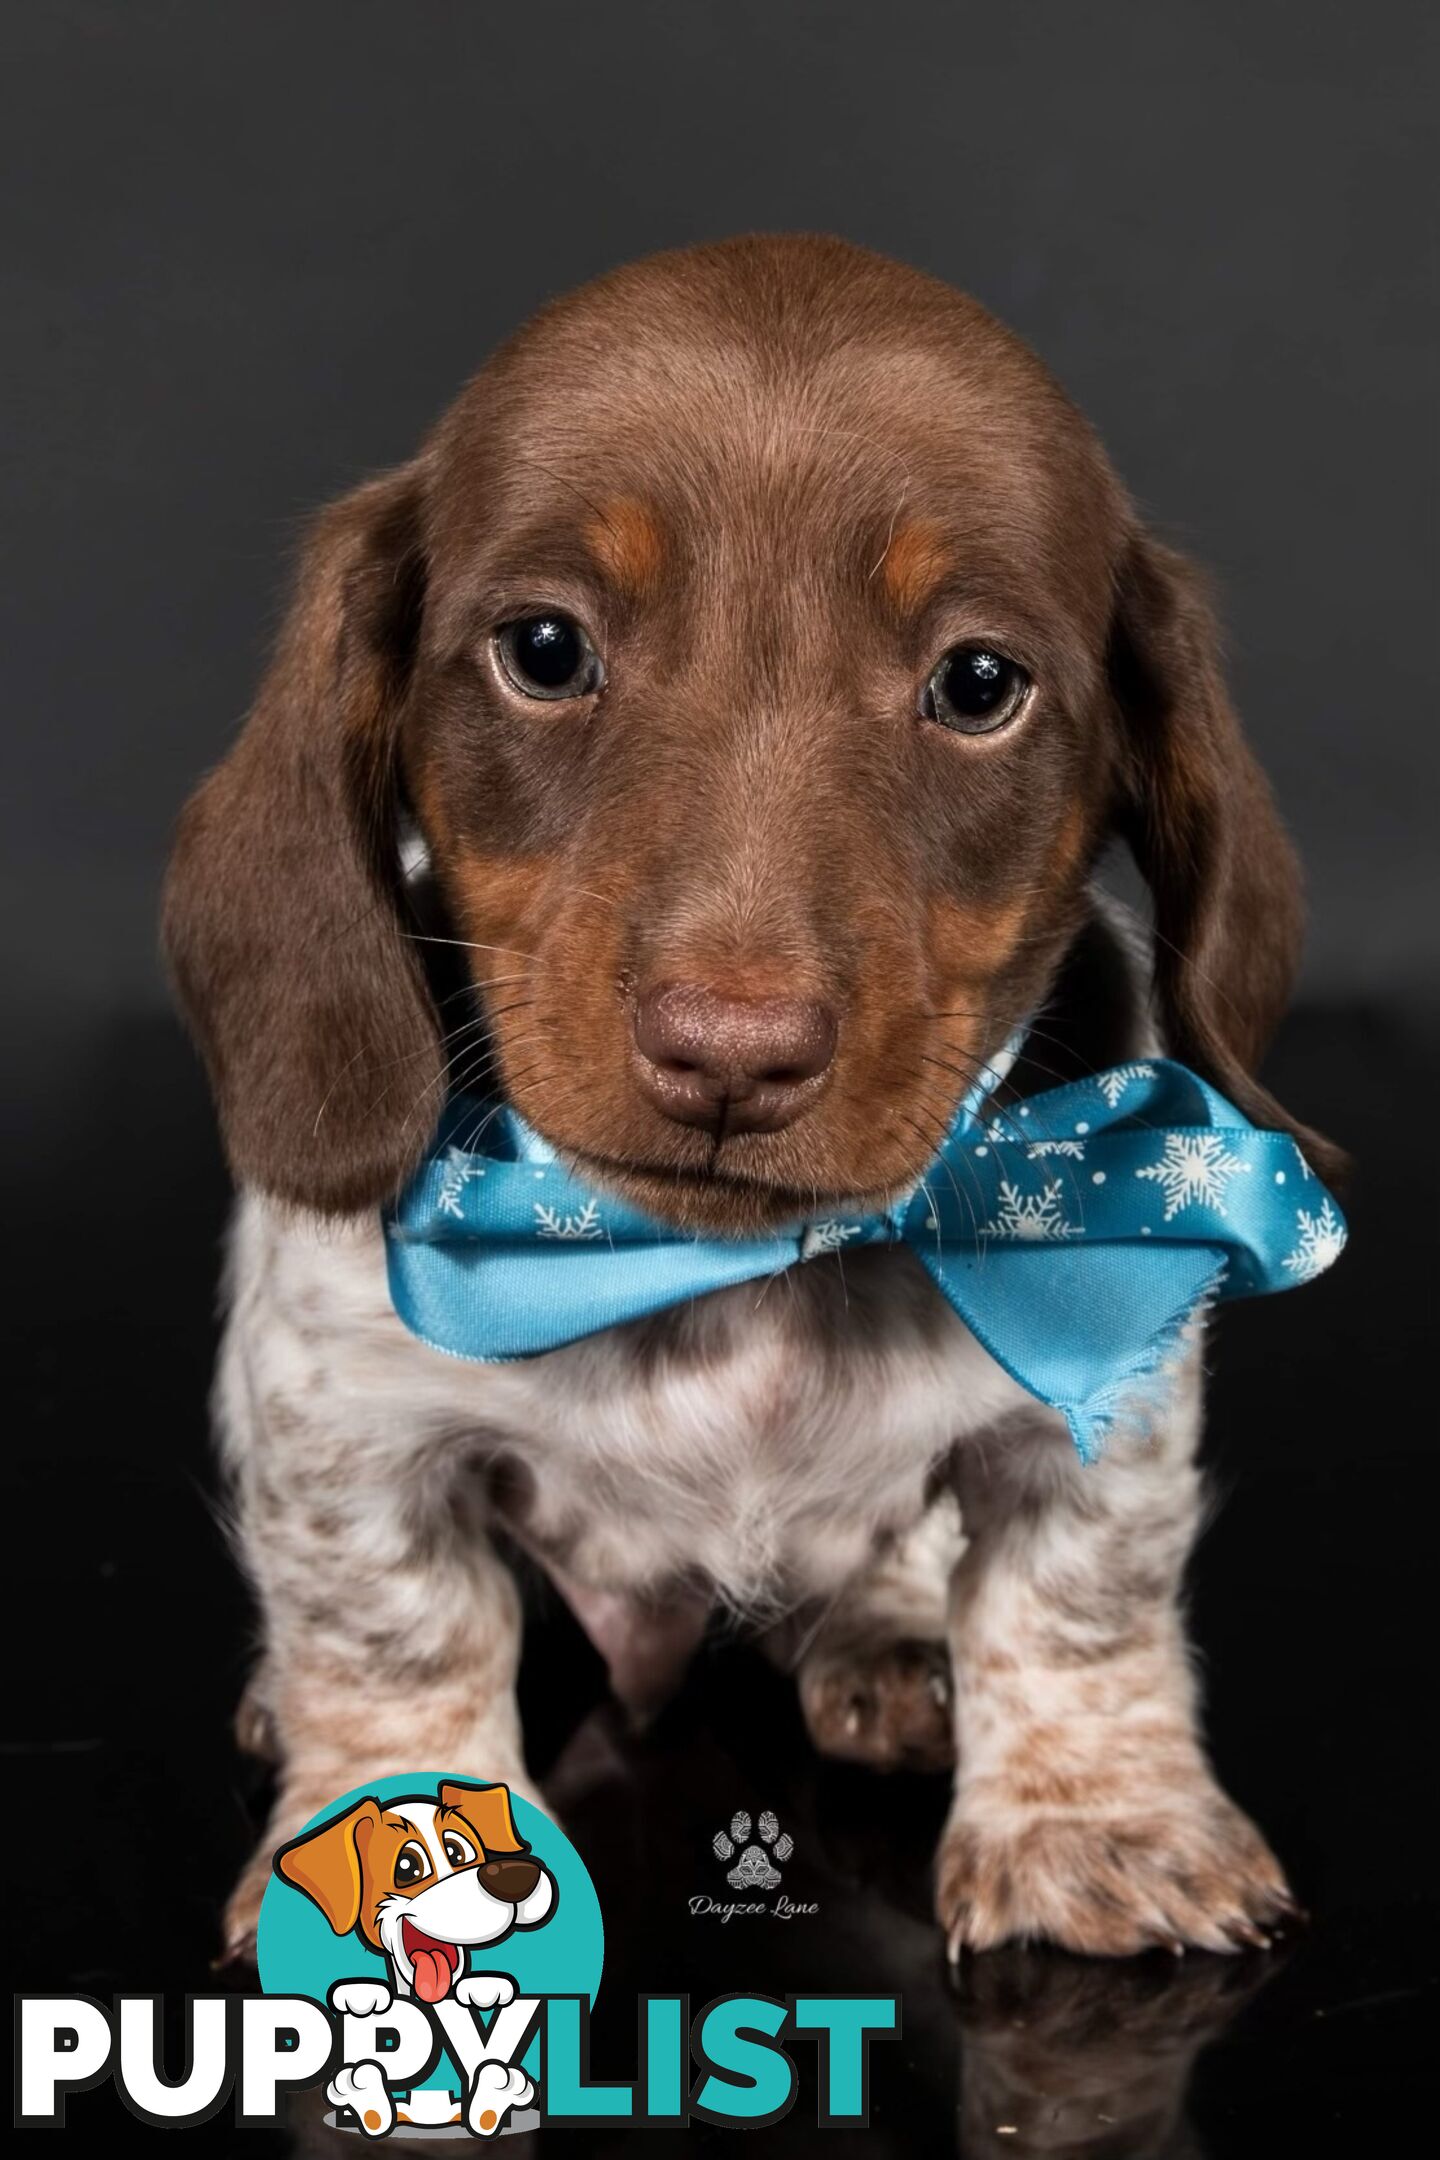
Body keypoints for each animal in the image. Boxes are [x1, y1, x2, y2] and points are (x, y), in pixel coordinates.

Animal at [162, 232, 1338, 1961]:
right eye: (545, 649)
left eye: (977, 682)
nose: (730, 1049)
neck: (722, 1273)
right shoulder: (349, 1423)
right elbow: (398, 1638)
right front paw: (381, 1832)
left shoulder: (1105, 1400)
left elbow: (1073, 1599)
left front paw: (1096, 1826)